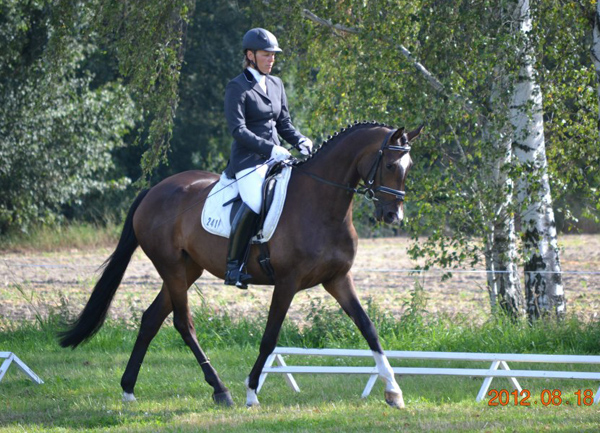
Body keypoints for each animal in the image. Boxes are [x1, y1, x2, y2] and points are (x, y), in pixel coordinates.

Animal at [56, 120, 422, 408]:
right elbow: (270, 337)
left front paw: (394, 391)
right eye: (391, 166)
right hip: (171, 267)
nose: (394, 216)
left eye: (409, 166)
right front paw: (251, 392)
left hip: (189, 269)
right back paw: (221, 390)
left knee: (150, 319)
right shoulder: (287, 282)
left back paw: (129, 389)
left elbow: (368, 328)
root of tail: (154, 189)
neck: (322, 205)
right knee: (182, 323)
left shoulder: (338, 279)